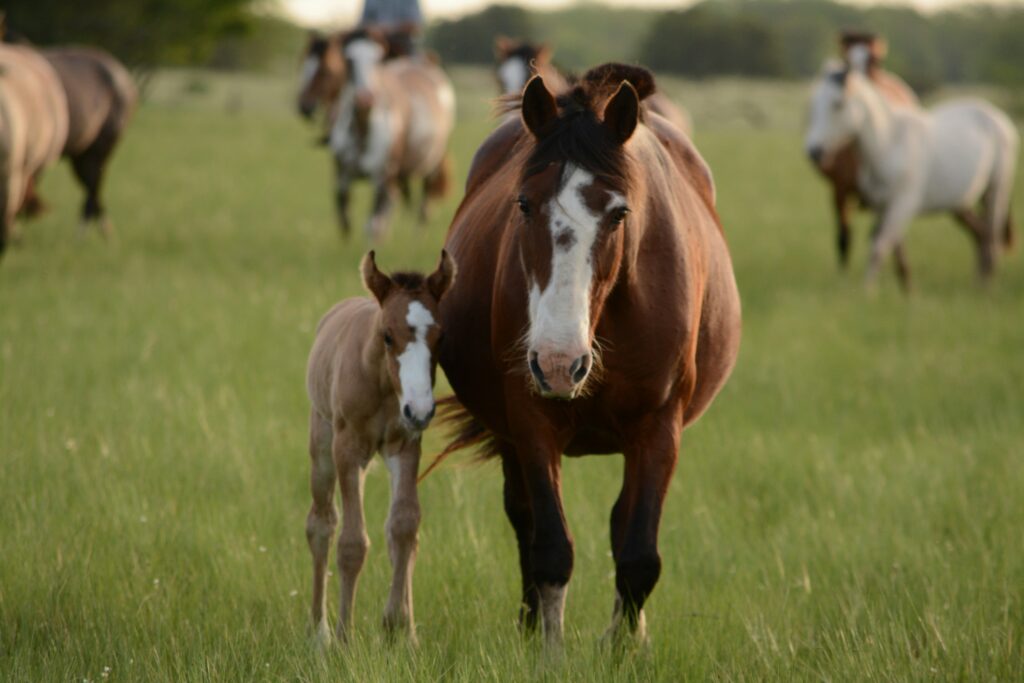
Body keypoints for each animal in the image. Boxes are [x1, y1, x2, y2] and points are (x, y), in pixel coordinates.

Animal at [305, 250, 456, 647]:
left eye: (441, 336)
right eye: (388, 335)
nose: (420, 409)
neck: (383, 384)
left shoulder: (405, 446)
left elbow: (403, 526)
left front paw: (399, 628)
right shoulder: (347, 450)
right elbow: (351, 542)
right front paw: (344, 638)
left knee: (394, 530)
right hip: (322, 445)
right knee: (321, 524)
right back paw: (319, 631)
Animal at [328, 29, 455, 240]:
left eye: (377, 60)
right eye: (348, 60)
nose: (365, 98)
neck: (363, 130)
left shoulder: (382, 178)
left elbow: (372, 225)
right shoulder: (341, 175)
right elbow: (345, 219)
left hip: (431, 166)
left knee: (424, 208)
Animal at [431, 64, 741, 646]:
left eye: (619, 213)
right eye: (523, 204)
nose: (559, 363)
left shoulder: (659, 429)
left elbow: (638, 556)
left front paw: (623, 649)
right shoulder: (531, 423)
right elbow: (551, 548)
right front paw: (546, 648)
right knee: (524, 519)